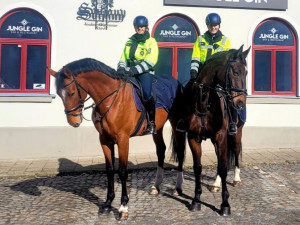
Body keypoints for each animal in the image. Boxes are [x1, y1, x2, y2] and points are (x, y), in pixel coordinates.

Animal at [48, 59, 185, 221]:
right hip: (158, 128)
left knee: (181, 152)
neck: (110, 100)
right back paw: (156, 187)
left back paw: (178, 188)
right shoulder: (104, 140)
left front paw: (123, 207)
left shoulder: (123, 140)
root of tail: (177, 83)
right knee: (161, 151)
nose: (73, 122)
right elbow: (109, 170)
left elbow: (123, 172)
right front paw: (107, 204)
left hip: (177, 125)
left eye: (72, 93)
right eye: (58, 94)